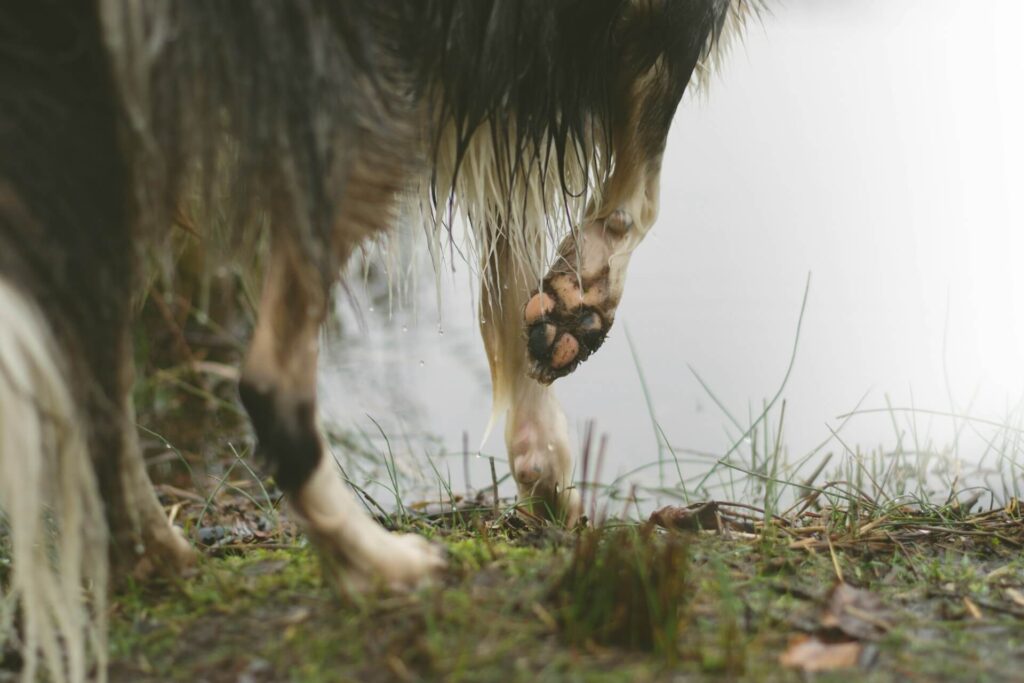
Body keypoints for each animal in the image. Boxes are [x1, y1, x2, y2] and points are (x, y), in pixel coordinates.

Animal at [0, 1, 753, 679]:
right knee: (267, 380)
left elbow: (512, 252)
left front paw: (547, 466)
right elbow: (642, 182)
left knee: (92, 376)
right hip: (360, 97)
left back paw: (156, 555)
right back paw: (377, 564)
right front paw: (582, 301)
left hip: (106, 140)